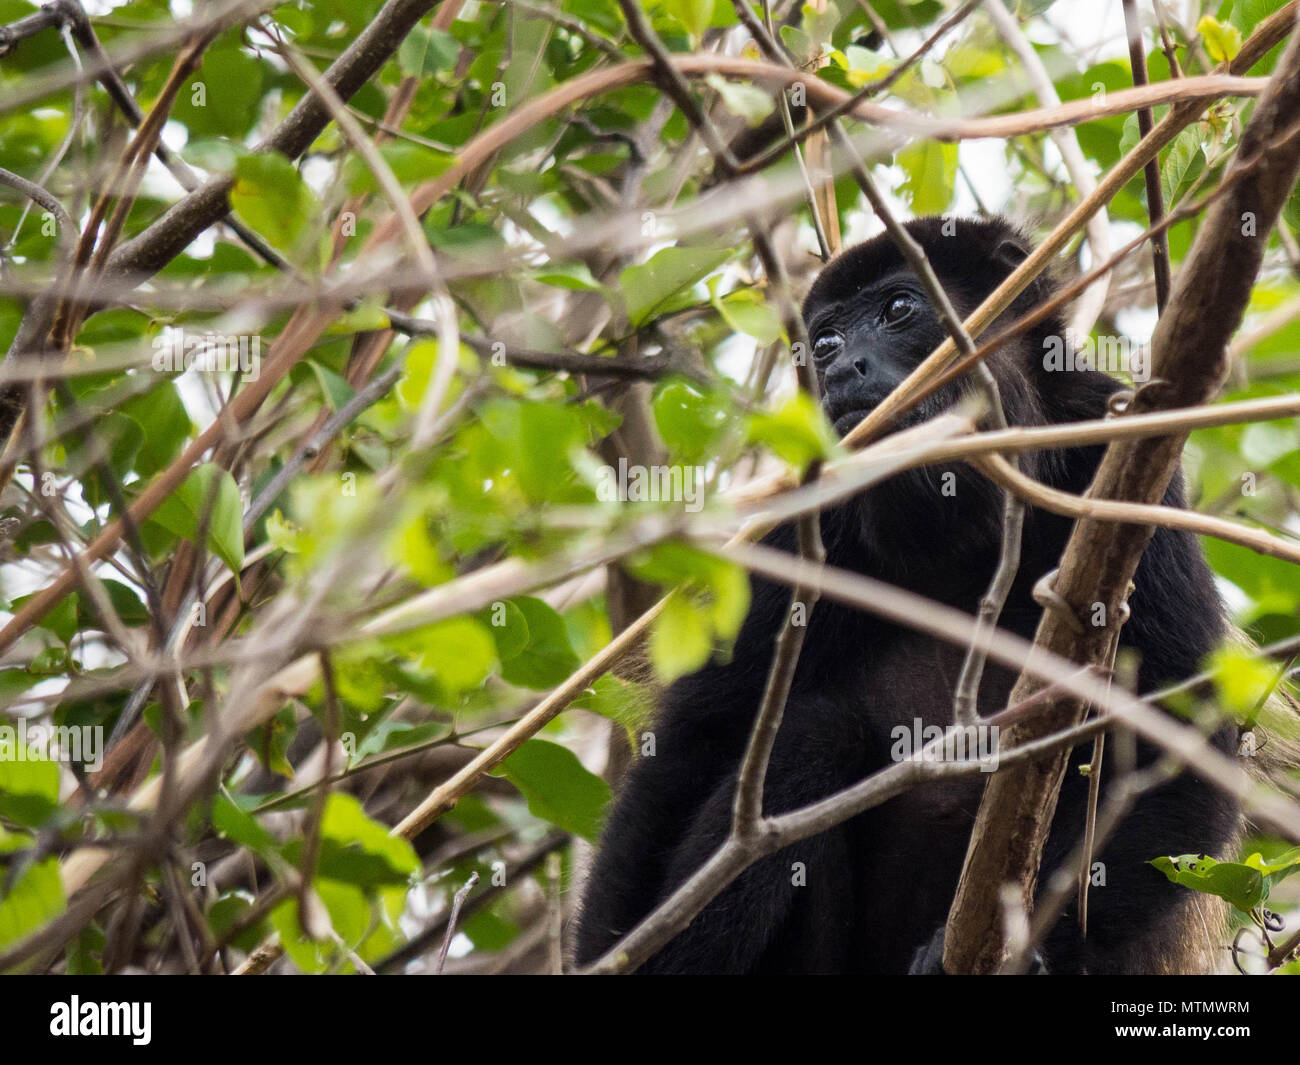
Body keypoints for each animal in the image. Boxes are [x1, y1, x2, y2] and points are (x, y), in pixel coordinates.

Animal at [577, 214, 1237, 972]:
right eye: (825, 342)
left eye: (898, 309)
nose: (840, 370)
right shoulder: (808, 509)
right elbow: (698, 736)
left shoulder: (1114, 445)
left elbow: (1177, 731)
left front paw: (1026, 947)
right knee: (811, 735)